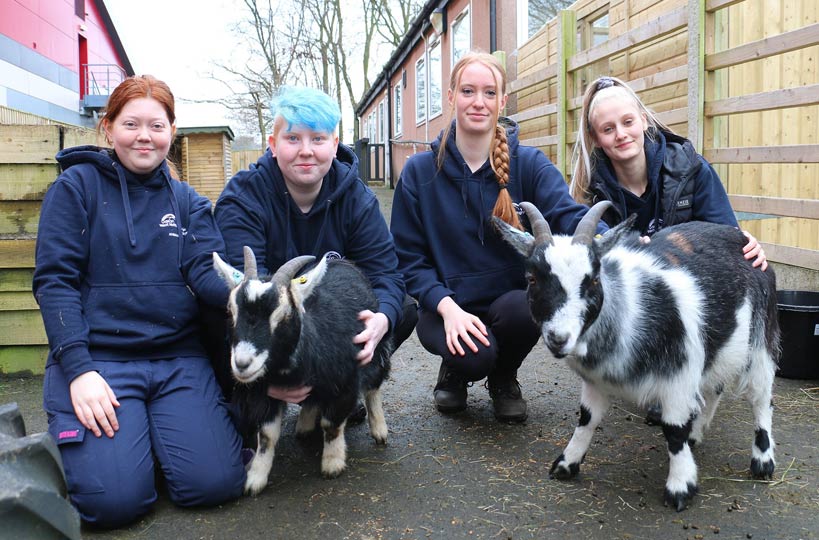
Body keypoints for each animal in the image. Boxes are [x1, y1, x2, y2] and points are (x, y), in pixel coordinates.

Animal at [211, 247, 390, 496]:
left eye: (285, 315)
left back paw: (379, 430)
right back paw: (305, 424)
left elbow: (331, 425)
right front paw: (255, 478)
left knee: (373, 386)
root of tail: (342, 262)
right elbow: (266, 436)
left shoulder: (346, 382)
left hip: (376, 347)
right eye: (230, 311)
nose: (242, 363)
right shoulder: (266, 393)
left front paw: (332, 464)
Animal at [496, 201, 780, 510]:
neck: (629, 309)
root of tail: (742, 238)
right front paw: (566, 465)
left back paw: (762, 461)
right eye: (532, 278)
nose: (559, 339)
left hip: (761, 340)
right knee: (714, 387)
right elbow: (587, 418)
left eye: (593, 279)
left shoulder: (680, 373)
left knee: (761, 398)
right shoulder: (596, 381)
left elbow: (673, 429)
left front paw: (680, 487)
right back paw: (697, 433)